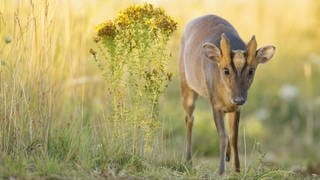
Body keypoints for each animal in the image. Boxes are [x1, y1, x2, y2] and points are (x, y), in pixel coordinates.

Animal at [179, 14, 276, 175]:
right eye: (225, 70)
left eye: (251, 71)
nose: (239, 99)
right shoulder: (215, 104)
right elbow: (223, 136)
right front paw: (220, 171)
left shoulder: (236, 109)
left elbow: (233, 136)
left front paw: (237, 170)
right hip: (186, 84)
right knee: (189, 118)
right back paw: (188, 162)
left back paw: (227, 156)